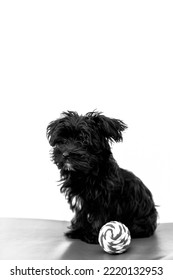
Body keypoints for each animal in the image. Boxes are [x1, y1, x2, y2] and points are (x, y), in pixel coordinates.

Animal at [46, 111, 157, 243]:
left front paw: (93, 235)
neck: (86, 174)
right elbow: (81, 214)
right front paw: (78, 231)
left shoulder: (105, 200)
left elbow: (99, 216)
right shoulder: (81, 200)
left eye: (83, 140)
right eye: (62, 140)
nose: (65, 154)